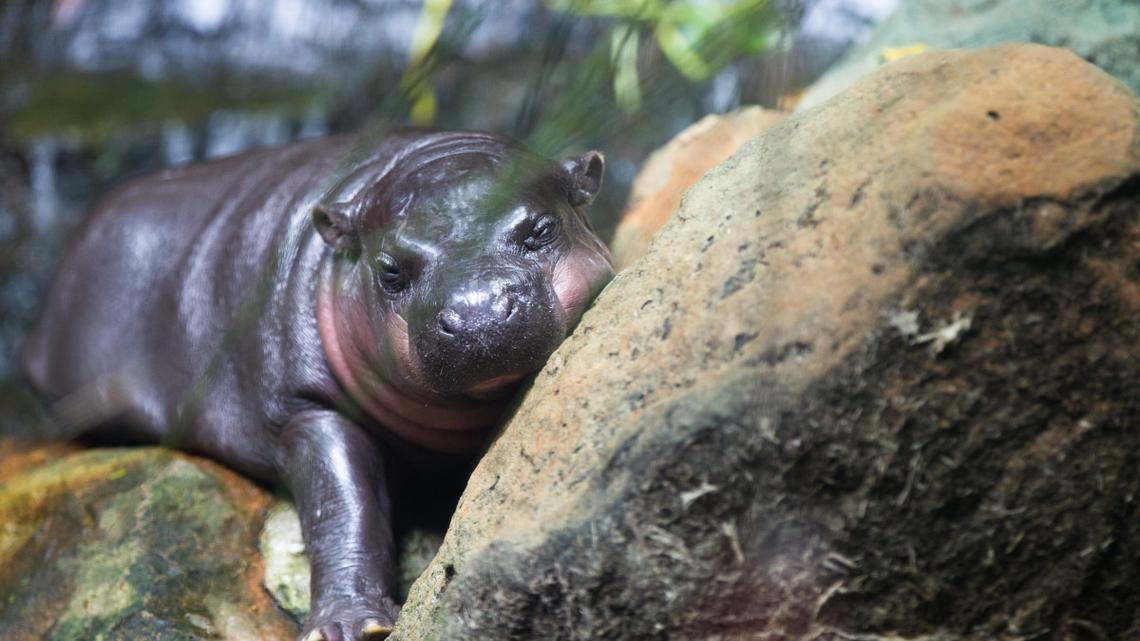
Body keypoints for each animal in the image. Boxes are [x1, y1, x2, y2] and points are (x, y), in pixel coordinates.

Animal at [20, 129, 614, 641]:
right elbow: (342, 507)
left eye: (541, 229)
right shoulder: (308, 409)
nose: (477, 313)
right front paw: (350, 626)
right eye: (390, 269)